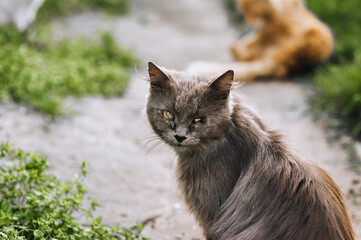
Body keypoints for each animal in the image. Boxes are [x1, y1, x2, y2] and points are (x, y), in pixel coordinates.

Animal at [187, 0, 334, 81]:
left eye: (252, 11)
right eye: (244, 11)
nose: (246, 19)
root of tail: (285, 63)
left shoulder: (272, 25)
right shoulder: (265, 30)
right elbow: (252, 38)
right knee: (250, 54)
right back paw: (236, 50)